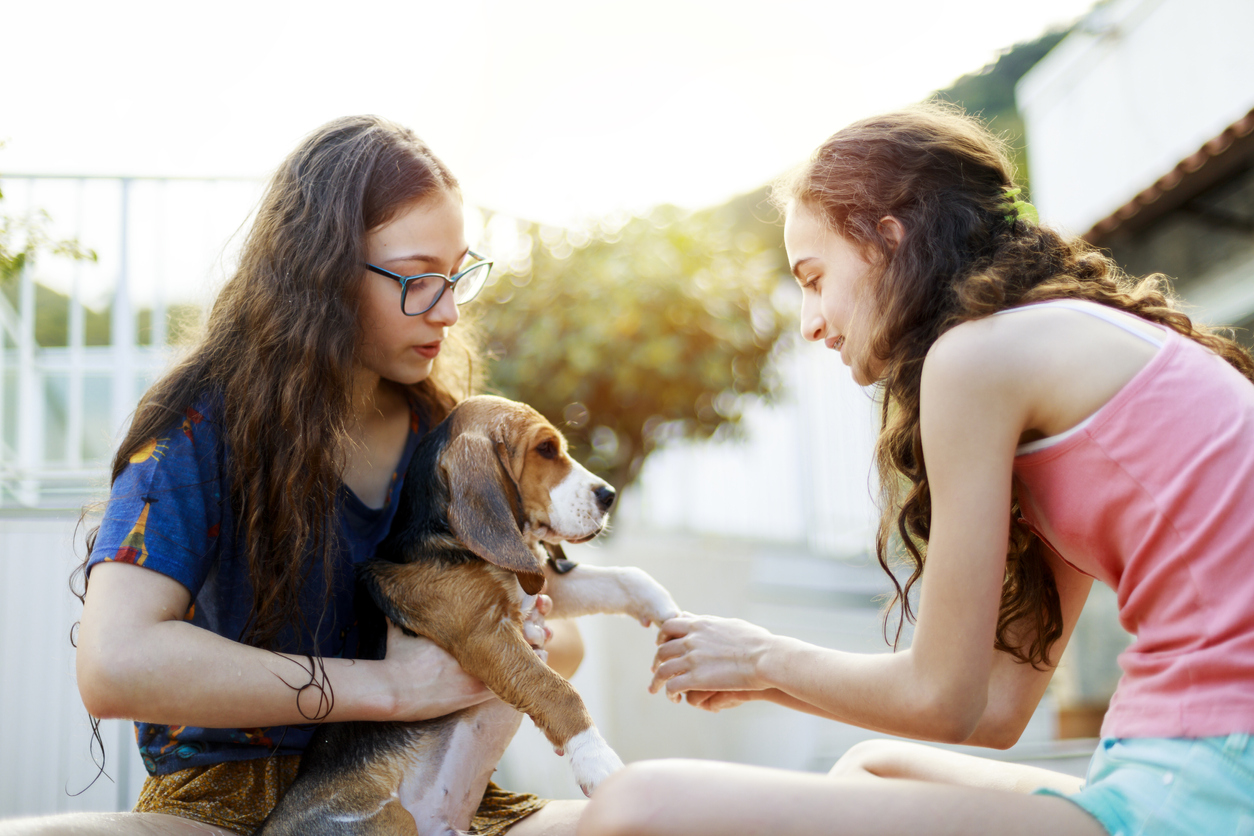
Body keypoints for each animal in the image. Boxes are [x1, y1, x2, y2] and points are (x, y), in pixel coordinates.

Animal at [255, 396, 682, 832]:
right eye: (546, 449)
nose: (609, 495)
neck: (444, 537)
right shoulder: (485, 634)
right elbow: (557, 690)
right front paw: (598, 762)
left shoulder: (532, 589)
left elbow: (626, 578)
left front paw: (673, 618)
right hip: (389, 818)